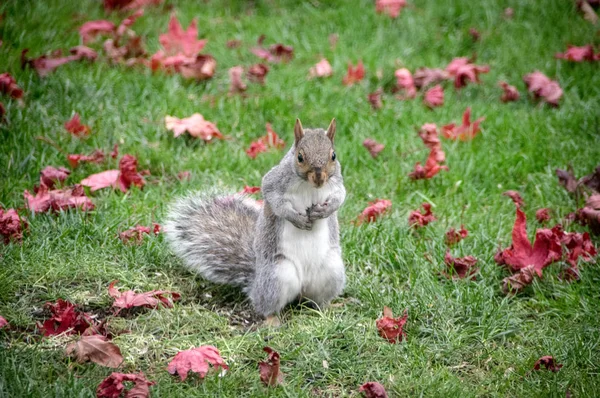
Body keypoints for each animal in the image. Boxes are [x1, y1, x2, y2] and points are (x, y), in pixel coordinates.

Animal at [164, 119, 346, 324]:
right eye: (300, 157)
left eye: (333, 156)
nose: (319, 178)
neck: (309, 185)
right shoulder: (274, 181)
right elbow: (274, 200)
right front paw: (296, 218)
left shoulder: (337, 183)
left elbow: (340, 197)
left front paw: (325, 211)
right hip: (277, 276)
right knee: (266, 306)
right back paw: (272, 320)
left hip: (331, 270)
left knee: (315, 301)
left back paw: (327, 308)